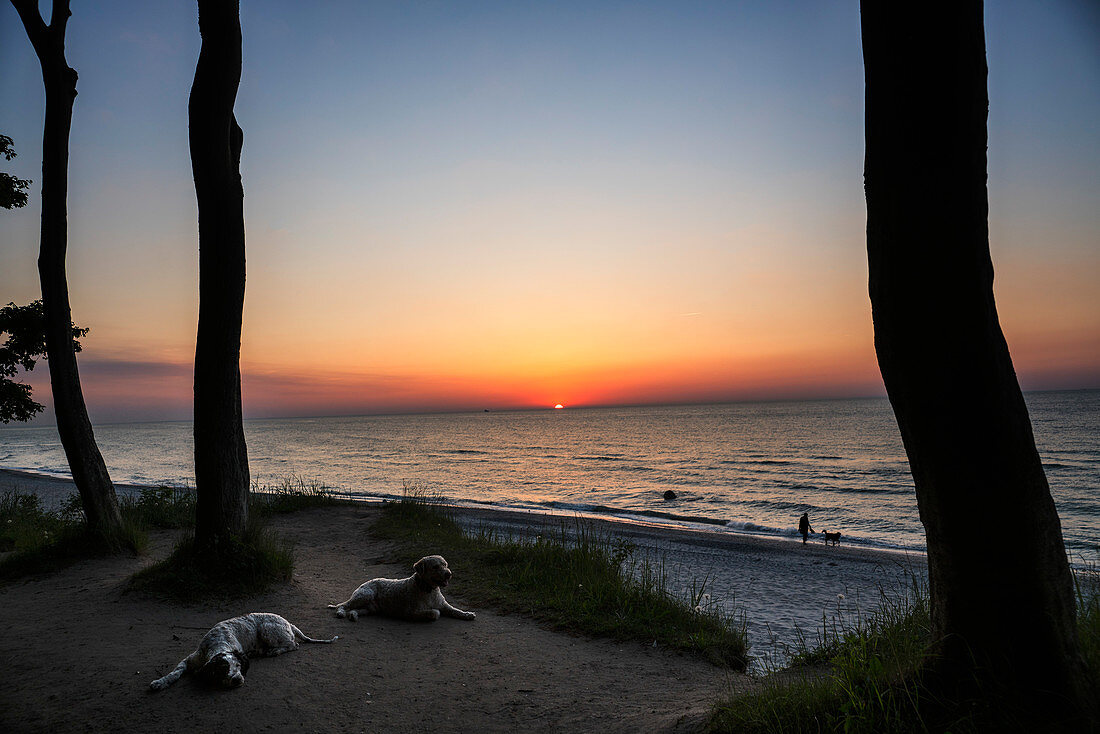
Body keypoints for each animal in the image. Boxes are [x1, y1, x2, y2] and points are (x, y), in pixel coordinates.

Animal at [150, 611, 336, 691]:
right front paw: (160, 682)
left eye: (239, 667)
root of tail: (289, 623)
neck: (217, 642)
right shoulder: (189, 659)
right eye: (223, 669)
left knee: (293, 645)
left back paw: (270, 652)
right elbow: (175, 672)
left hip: (266, 629)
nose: (237, 679)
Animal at [330, 554, 477, 625]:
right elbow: (435, 612)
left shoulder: (444, 605)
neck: (428, 590)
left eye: (445, 565)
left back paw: (353, 615)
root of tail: (365, 582)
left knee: (354, 610)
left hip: (370, 609)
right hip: (366, 595)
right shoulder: (410, 612)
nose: (449, 574)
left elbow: (455, 610)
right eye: (435, 567)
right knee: (344, 605)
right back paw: (341, 612)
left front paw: (467, 614)